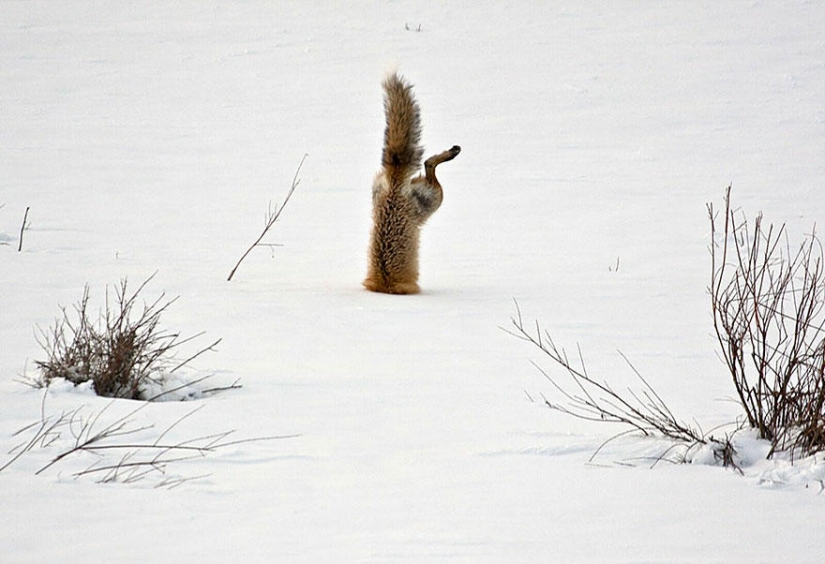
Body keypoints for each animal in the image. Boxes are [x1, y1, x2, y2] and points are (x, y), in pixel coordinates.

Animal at [363, 72, 461, 294]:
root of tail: (394, 180)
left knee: (429, 164)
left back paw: (451, 153)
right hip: (434, 200)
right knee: (428, 163)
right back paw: (450, 153)